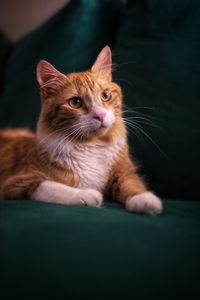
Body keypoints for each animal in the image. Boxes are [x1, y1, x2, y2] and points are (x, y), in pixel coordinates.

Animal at [0, 45, 162, 214]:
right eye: (75, 102)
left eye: (105, 95)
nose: (100, 115)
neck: (92, 146)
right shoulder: (15, 183)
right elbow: (50, 186)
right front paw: (85, 194)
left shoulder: (123, 171)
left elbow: (131, 182)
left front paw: (143, 198)